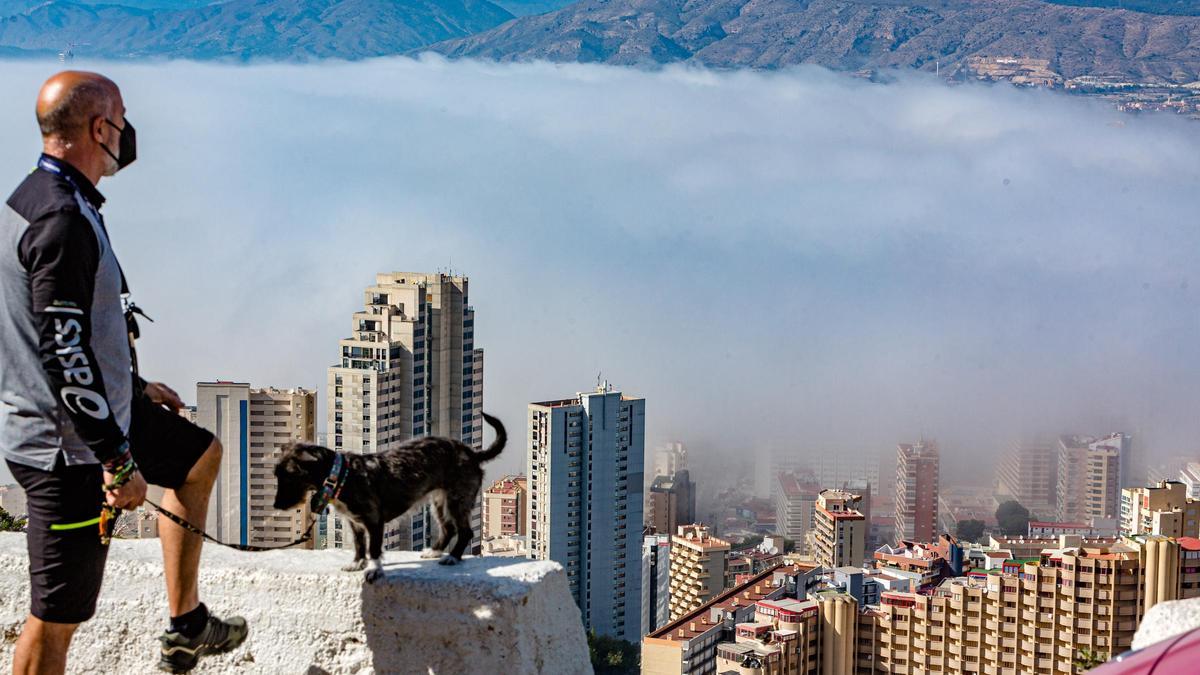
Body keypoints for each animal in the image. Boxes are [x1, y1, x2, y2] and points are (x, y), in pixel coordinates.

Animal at [274, 410, 504, 578]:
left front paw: (374, 569)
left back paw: (453, 557)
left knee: (465, 531)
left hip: (457, 499)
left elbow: (374, 548)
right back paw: (435, 551)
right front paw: (357, 563)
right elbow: (360, 545)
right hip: (439, 500)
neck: (341, 475)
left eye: (288, 478)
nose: (276, 506)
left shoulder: (374, 520)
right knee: (448, 528)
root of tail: (472, 453)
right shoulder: (354, 523)